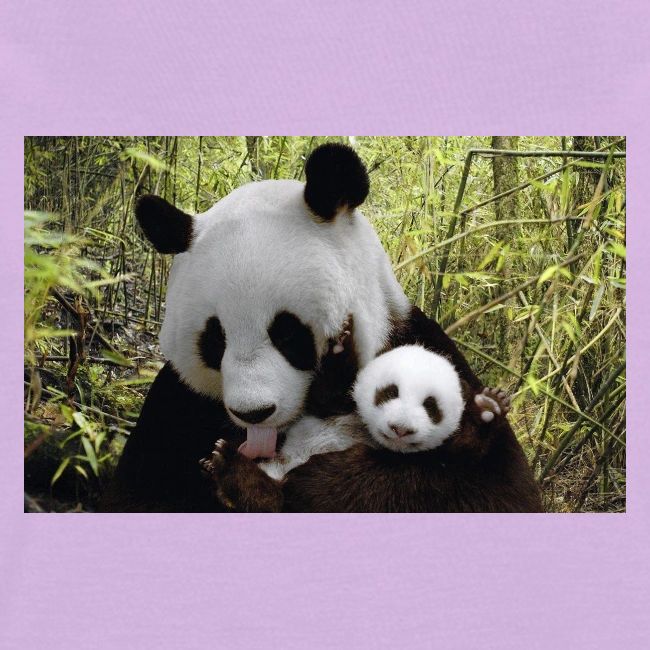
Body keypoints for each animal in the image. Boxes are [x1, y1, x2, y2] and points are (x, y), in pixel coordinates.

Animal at [100, 143, 542, 513]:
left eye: (287, 333)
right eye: (215, 340)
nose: (254, 413)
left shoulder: (422, 346)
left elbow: (490, 489)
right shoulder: (178, 404)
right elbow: (139, 494)